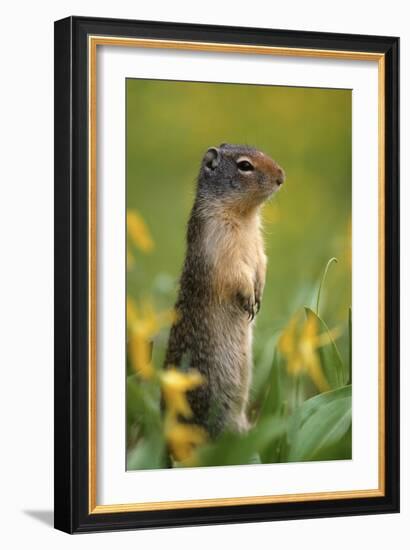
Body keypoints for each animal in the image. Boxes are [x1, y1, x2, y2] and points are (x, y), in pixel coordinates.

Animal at [164, 144, 286, 442]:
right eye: (245, 166)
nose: (281, 176)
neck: (244, 216)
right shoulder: (218, 244)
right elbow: (235, 274)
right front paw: (250, 298)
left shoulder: (258, 245)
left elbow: (262, 262)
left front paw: (259, 293)